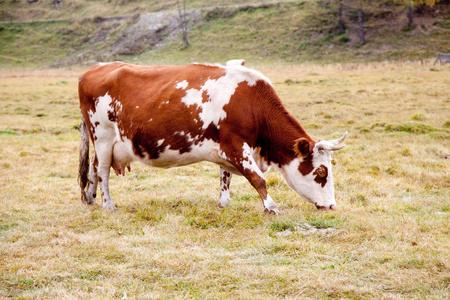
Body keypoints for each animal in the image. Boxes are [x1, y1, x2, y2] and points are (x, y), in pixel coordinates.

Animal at [77, 61, 346, 213]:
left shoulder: (224, 148)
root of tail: (92, 70)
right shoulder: (236, 146)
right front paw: (270, 207)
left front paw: (224, 204)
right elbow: (258, 179)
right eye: (321, 172)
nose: (332, 205)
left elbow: (225, 177)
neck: (252, 104)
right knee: (102, 172)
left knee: (93, 169)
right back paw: (108, 205)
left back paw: (90, 198)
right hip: (103, 137)